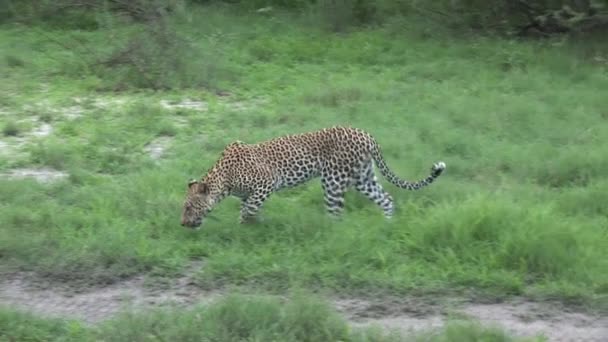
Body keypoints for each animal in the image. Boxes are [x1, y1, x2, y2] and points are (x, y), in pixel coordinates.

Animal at [180, 125, 446, 227]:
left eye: (189, 207)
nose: (182, 224)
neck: (223, 181)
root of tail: (366, 134)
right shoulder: (251, 193)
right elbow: (251, 208)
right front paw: (254, 226)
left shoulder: (266, 183)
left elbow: (247, 210)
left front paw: (244, 225)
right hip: (363, 179)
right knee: (387, 199)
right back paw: (387, 225)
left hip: (333, 180)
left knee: (336, 213)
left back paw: (328, 233)